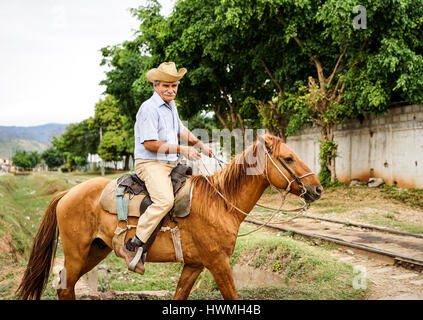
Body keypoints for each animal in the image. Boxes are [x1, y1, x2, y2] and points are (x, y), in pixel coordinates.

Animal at [15, 134, 322, 298]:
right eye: (289, 158)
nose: (317, 188)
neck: (221, 203)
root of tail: (67, 194)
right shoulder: (219, 263)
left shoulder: (194, 265)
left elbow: (179, 294)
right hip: (78, 253)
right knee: (65, 287)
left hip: (95, 251)